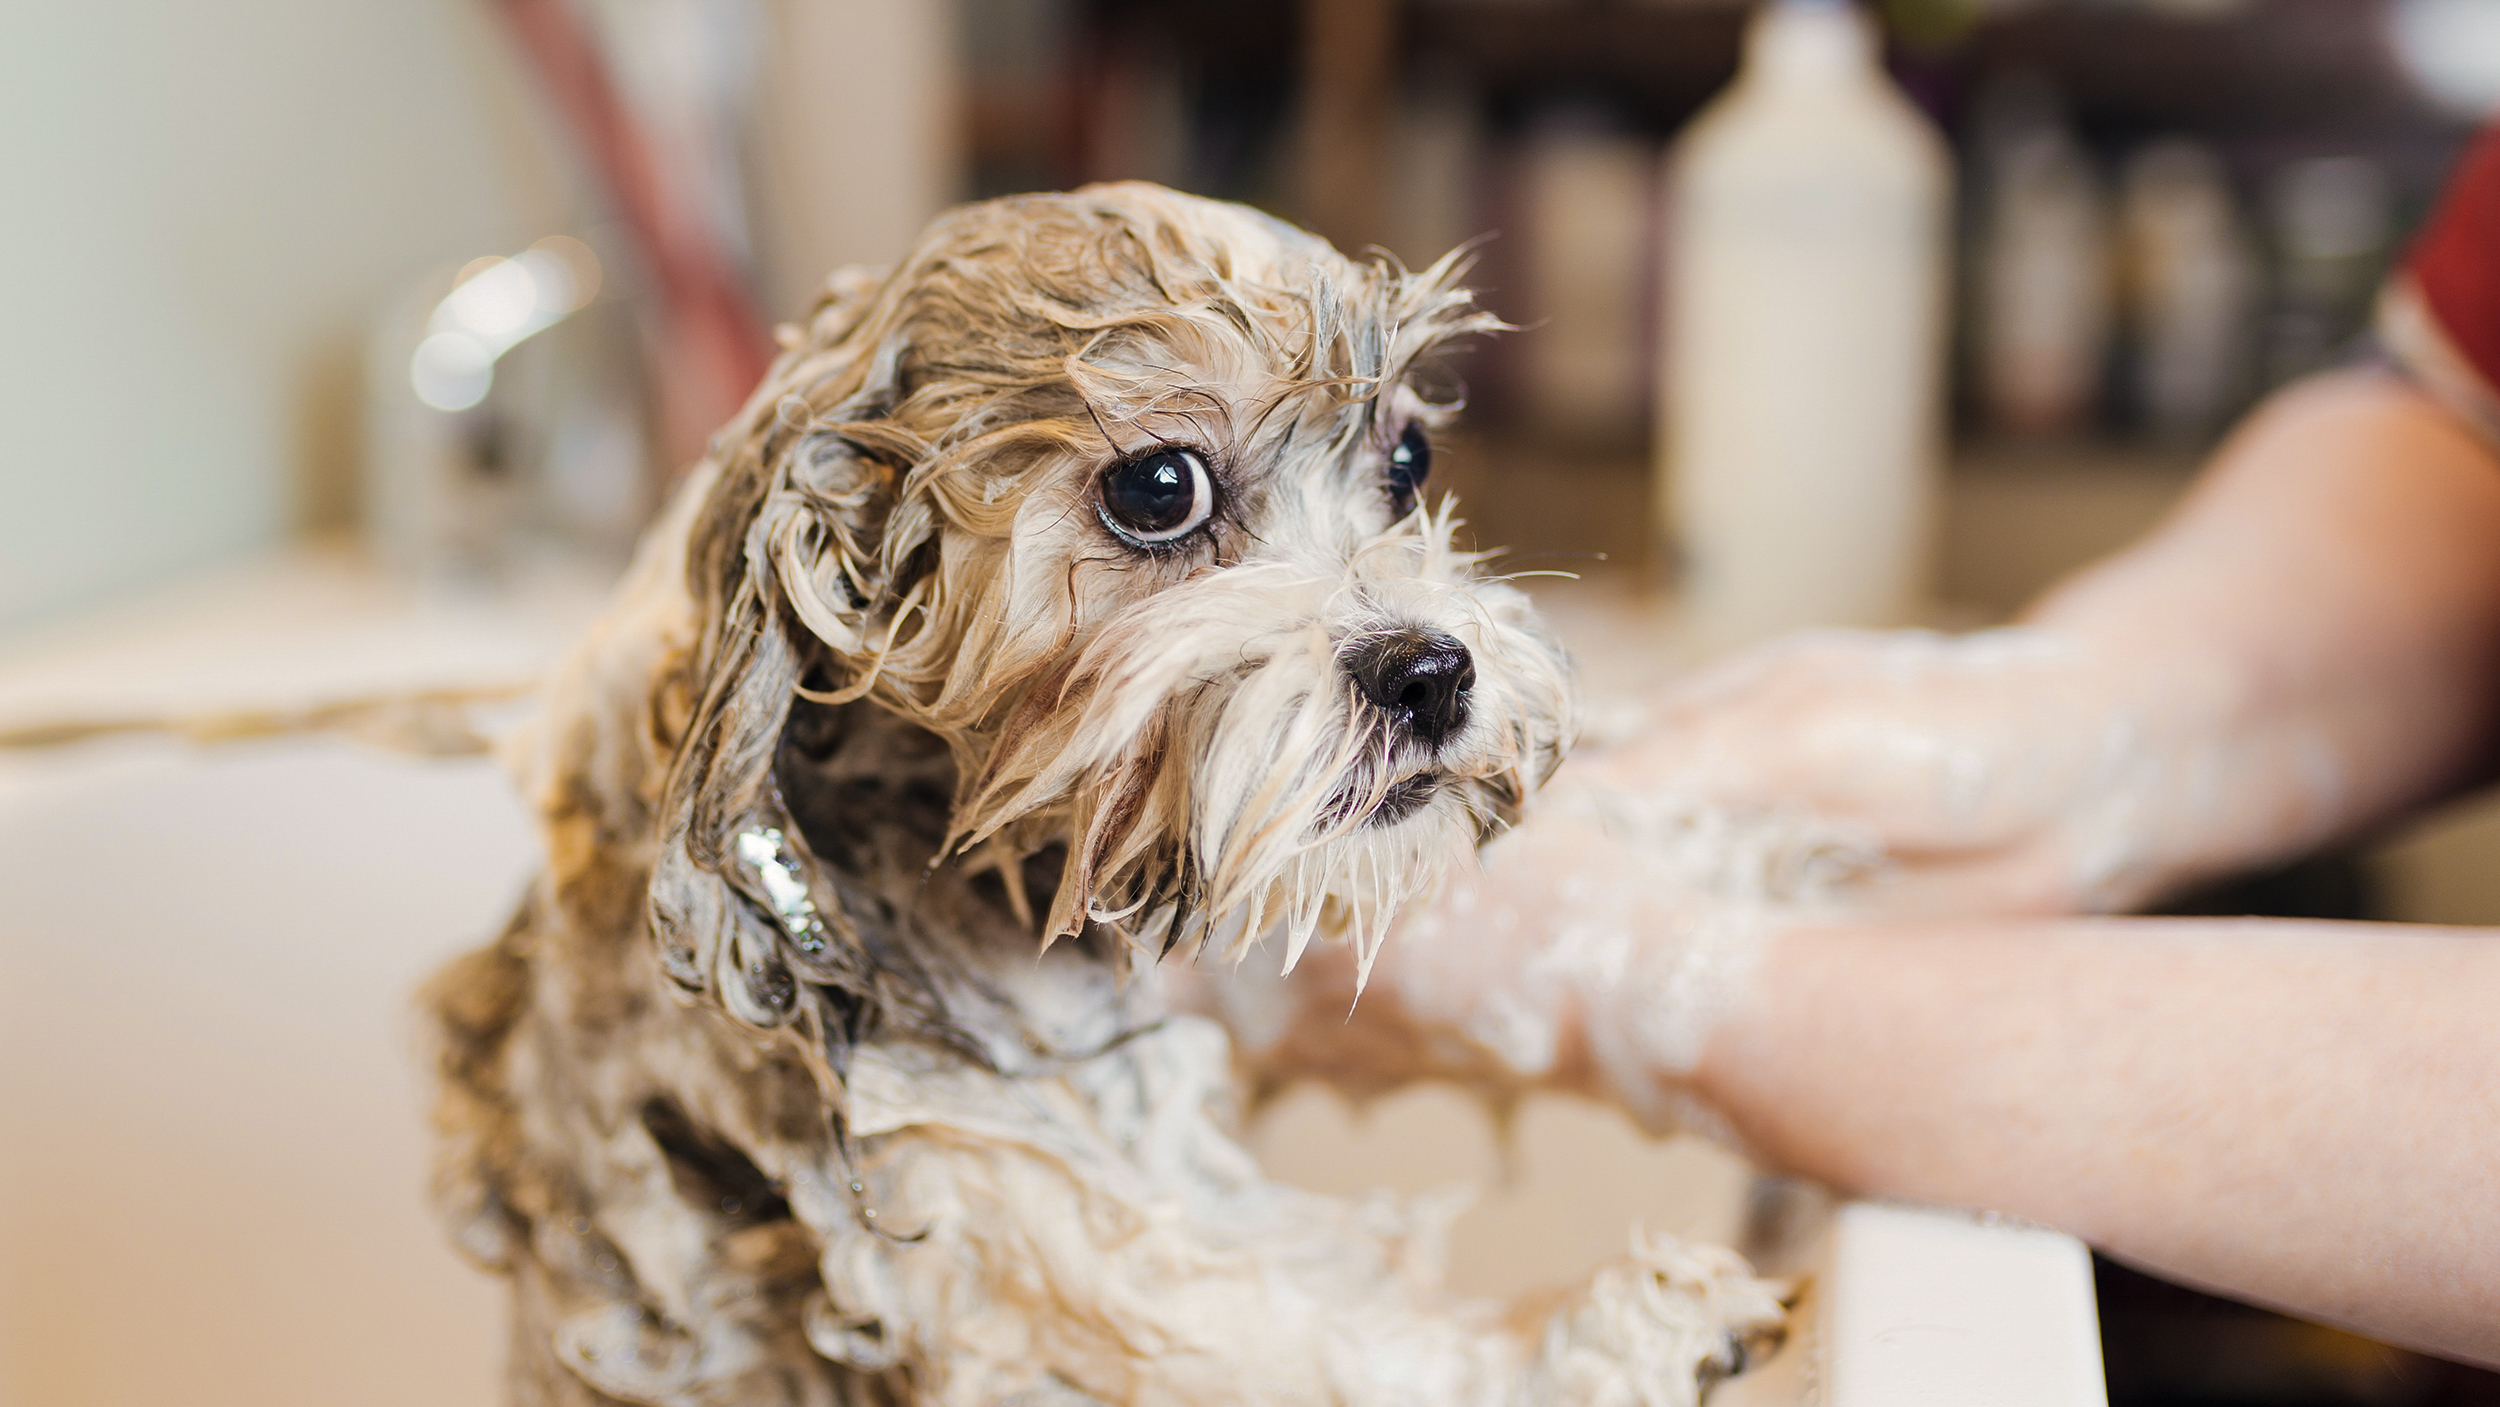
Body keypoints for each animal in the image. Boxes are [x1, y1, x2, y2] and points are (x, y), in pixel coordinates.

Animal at [435, 187, 1800, 1407]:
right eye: (1159, 489)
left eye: (1407, 460)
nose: (1430, 671)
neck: (936, 845)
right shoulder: (980, 1196)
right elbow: (1285, 1329)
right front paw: (1622, 1339)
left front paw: (1738, 853)